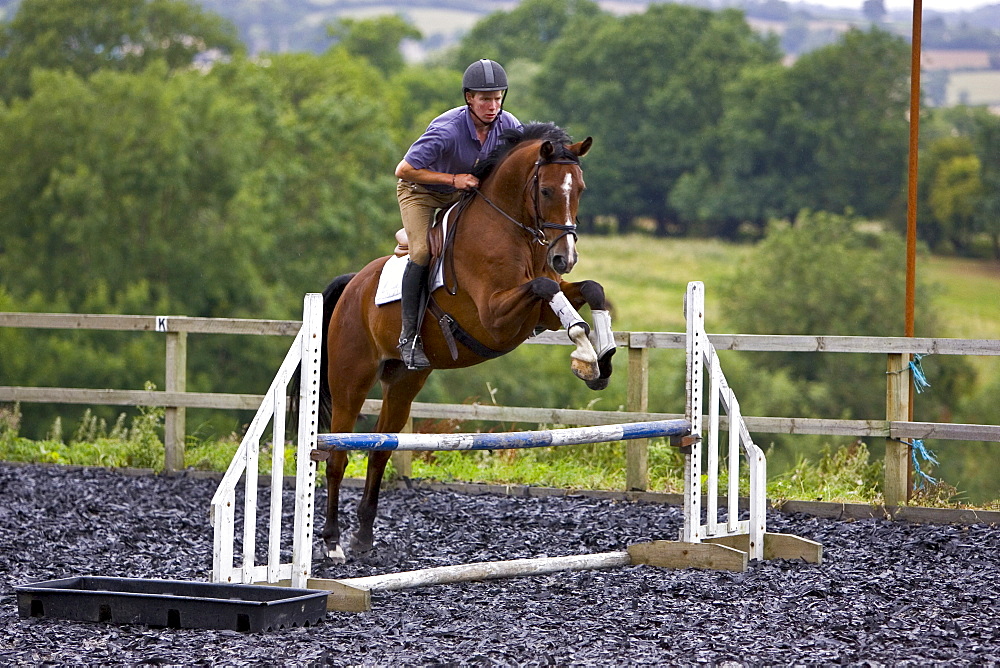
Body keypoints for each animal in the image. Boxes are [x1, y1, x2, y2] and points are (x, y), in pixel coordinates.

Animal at [312, 122, 612, 560]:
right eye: (546, 191)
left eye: (581, 189)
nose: (565, 258)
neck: (510, 228)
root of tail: (353, 284)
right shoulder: (495, 316)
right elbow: (546, 289)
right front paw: (585, 353)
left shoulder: (537, 311)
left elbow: (590, 289)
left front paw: (600, 361)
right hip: (351, 380)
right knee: (336, 456)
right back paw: (333, 542)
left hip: (404, 382)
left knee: (380, 450)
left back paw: (363, 536)